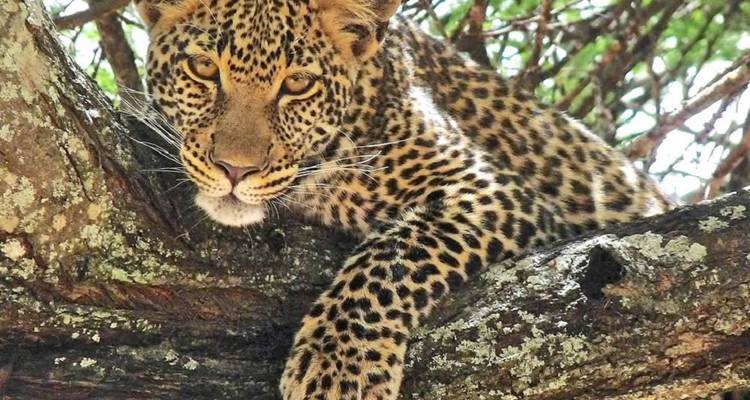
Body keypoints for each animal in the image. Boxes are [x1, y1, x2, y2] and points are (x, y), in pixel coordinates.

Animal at [133, 0, 671, 398]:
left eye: (298, 84)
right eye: (203, 68)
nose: (235, 169)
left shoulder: (492, 189)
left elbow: (391, 258)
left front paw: (336, 369)